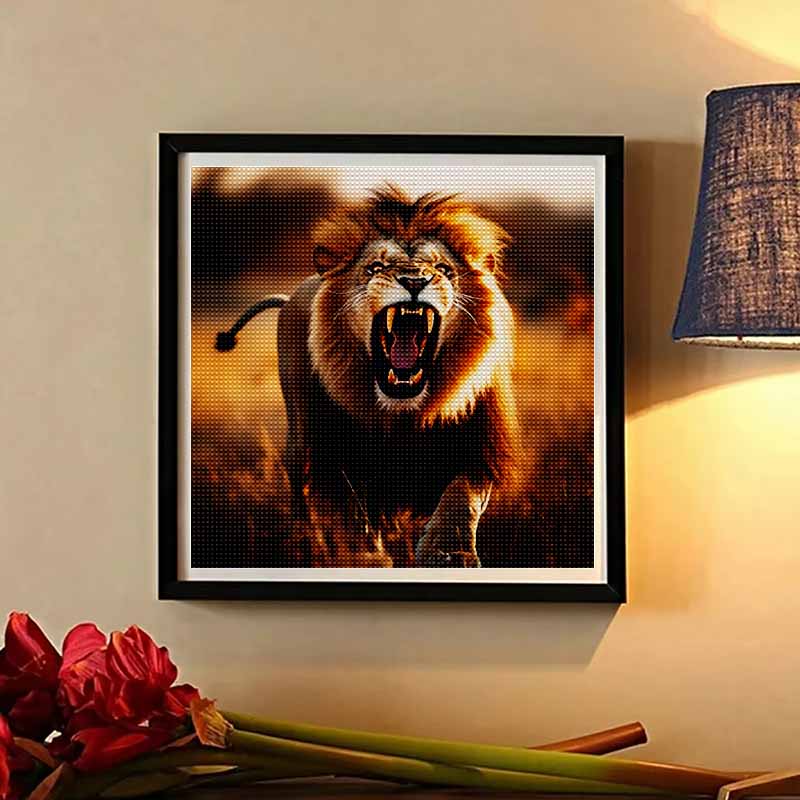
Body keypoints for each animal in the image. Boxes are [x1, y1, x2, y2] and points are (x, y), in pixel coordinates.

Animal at [216, 186, 518, 568]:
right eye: (376, 267)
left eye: (443, 269)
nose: (415, 280)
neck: (404, 411)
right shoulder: (334, 451)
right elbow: (350, 511)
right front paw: (364, 556)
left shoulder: (480, 446)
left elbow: (460, 498)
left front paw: (450, 553)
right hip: (299, 437)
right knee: (300, 491)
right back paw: (304, 540)